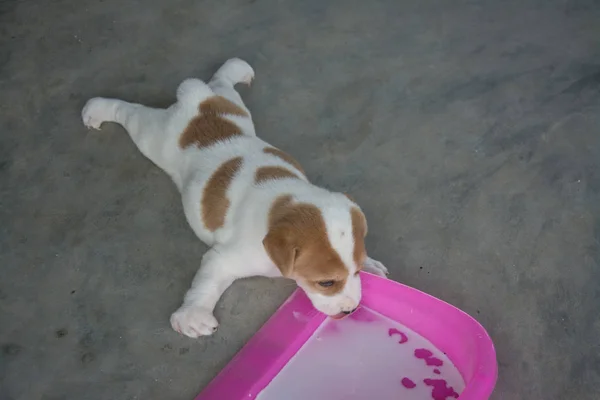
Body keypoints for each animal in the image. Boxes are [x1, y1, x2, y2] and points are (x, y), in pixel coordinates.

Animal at [81, 58, 390, 338]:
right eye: (326, 283)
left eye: (357, 272)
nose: (351, 309)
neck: (284, 203)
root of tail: (197, 97)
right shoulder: (224, 259)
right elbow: (205, 285)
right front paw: (193, 316)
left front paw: (371, 264)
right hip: (154, 138)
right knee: (131, 112)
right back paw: (98, 109)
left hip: (233, 104)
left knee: (220, 81)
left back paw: (235, 69)